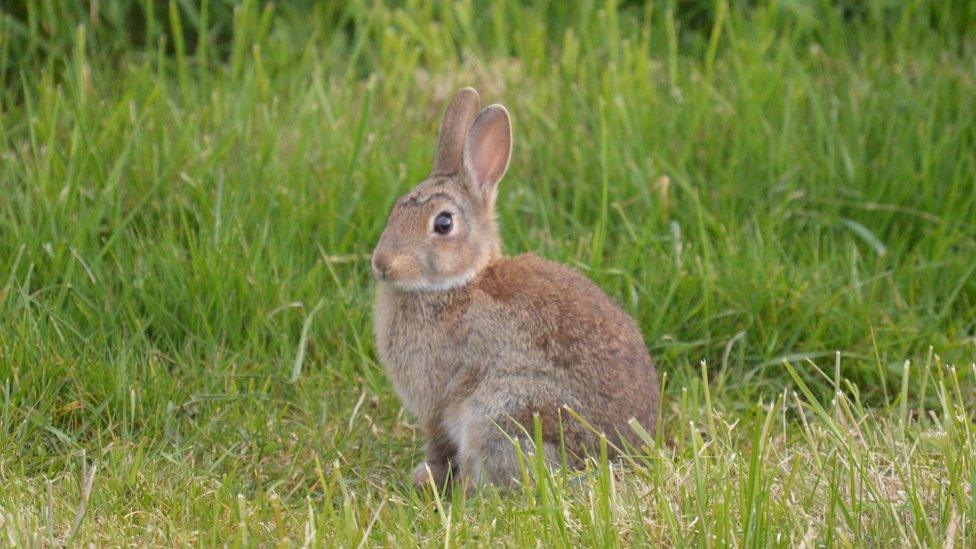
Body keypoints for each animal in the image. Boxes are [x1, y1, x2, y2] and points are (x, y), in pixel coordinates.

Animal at [370, 88, 660, 490]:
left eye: (443, 224)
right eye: (396, 210)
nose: (383, 263)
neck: (458, 283)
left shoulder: (439, 400)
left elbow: (438, 442)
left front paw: (425, 476)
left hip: (503, 409)